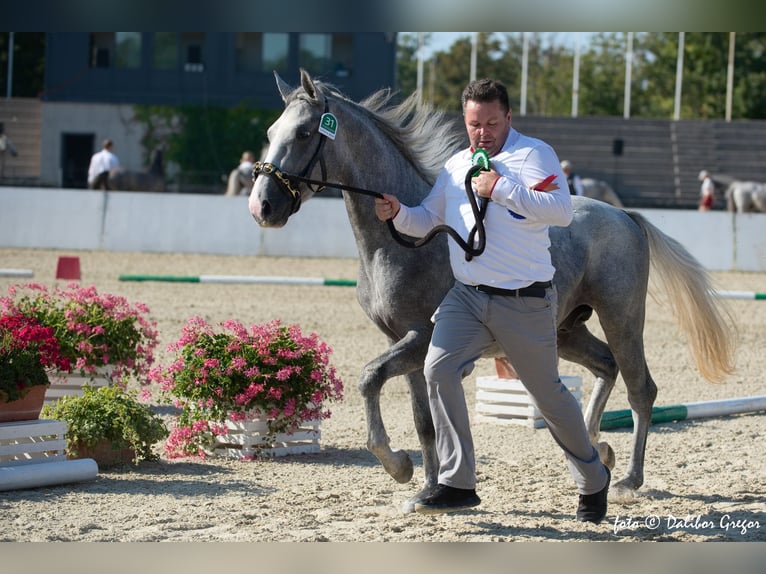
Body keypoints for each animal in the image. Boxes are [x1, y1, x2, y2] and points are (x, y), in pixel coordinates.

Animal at [249, 71, 736, 508]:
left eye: (305, 133)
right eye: (270, 132)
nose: (262, 206)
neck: (402, 242)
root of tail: (623, 215)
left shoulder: (421, 337)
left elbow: (370, 378)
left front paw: (398, 466)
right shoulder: (405, 344)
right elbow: (424, 421)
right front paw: (428, 489)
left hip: (622, 320)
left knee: (640, 389)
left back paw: (628, 480)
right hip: (566, 332)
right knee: (606, 367)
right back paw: (599, 449)